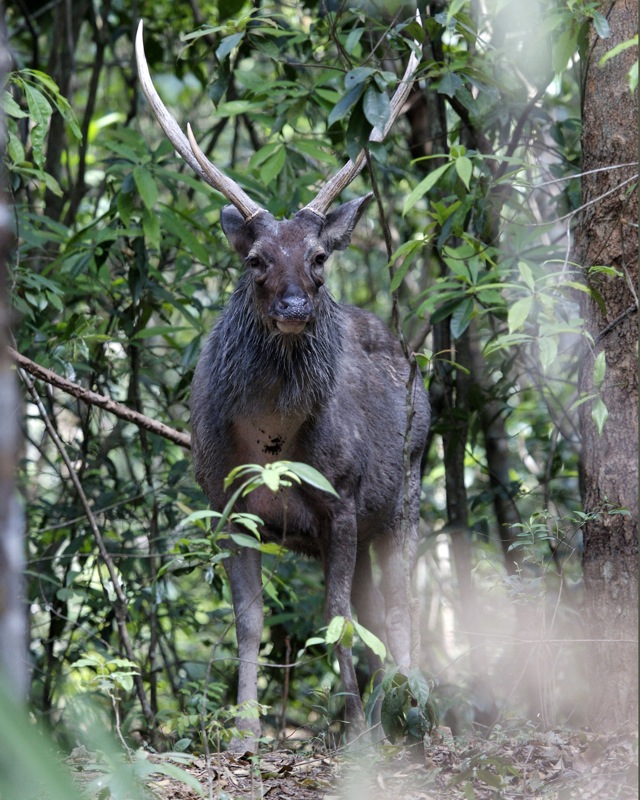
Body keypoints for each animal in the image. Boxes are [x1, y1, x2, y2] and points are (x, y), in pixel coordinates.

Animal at [135, 20, 430, 752]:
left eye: (319, 257)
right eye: (255, 259)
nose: (296, 306)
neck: (271, 439)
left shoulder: (344, 496)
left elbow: (336, 614)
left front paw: (355, 732)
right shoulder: (225, 499)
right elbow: (249, 619)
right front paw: (244, 734)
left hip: (407, 484)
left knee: (401, 603)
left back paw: (409, 709)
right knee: (379, 605)